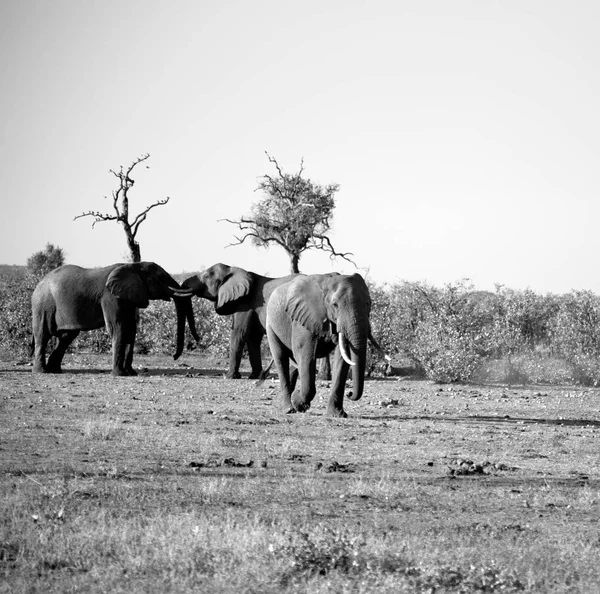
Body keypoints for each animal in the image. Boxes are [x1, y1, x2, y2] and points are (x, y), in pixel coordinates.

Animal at [31, 260, 195, 374]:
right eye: (160, 277)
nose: (174, 357)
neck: (133, 266)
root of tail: (39, 282)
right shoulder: (110, 297)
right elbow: (118, 328)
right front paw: (119, 374)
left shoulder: (128, 297)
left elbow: (131, 329)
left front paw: (131, 373)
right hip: (42, 304)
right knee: (42, 335)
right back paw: (42, 372)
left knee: (66, 336)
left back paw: (55, 370)